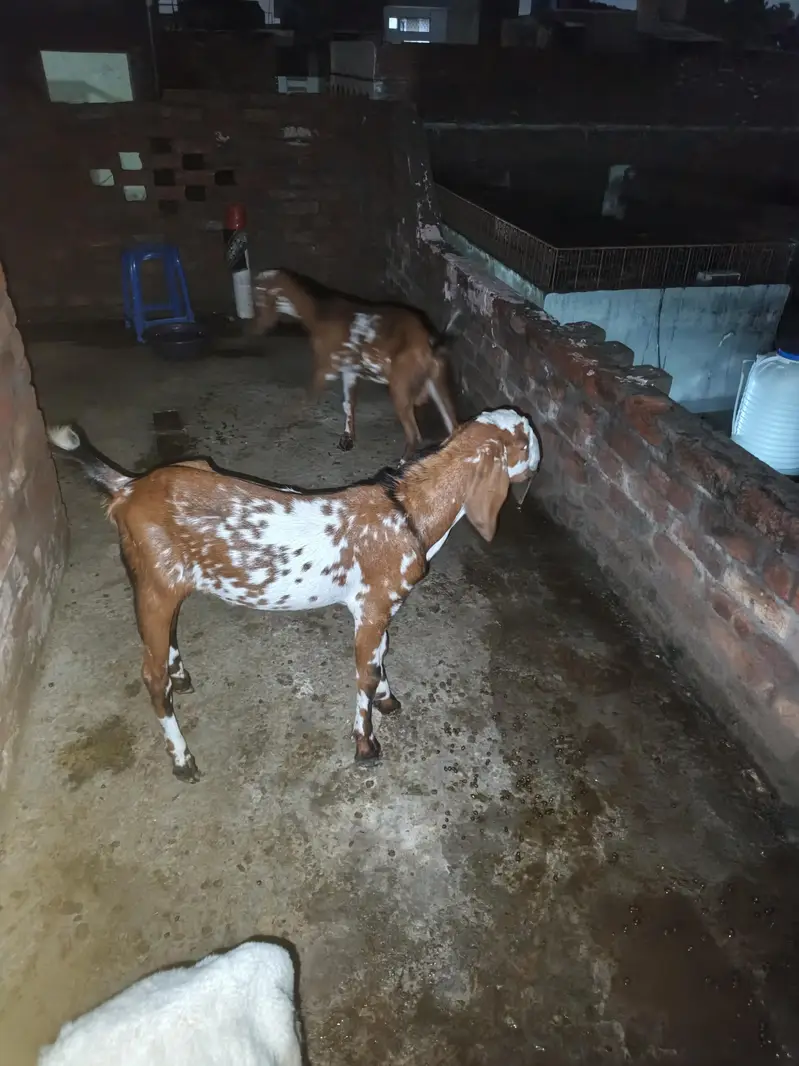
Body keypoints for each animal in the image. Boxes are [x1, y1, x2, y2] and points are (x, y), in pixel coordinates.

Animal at [48, 408, 540, 781]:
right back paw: (182, 759)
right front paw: (366, 745)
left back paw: (180, 674)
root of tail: (127, 489)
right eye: (526, 441)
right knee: (151, 678)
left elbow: (381, 656)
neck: (407, 511)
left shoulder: (381, 609)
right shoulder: (372, 606)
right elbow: (365, 672)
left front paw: (387, 698)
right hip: (156, 584)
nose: (539, 456)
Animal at [251, 269, 459, 457]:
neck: (317, 315)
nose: (256, 328)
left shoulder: (325, 366)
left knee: (414, 434)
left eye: (260, 301)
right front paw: (347, 439)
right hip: (436, 380)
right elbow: (348, 403)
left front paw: (280, 427)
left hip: (401, 386)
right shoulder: (349, 369)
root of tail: (430, 345)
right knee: (453, 425)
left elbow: (307, 399)